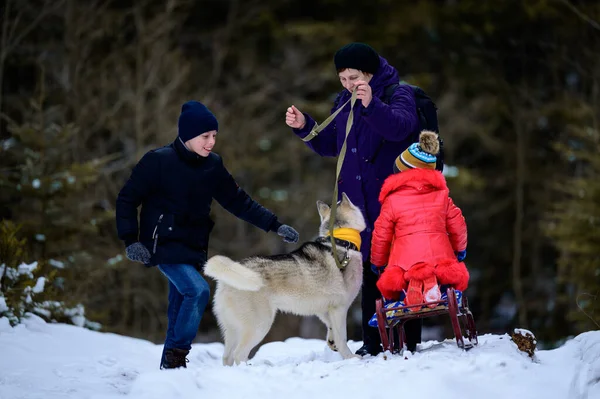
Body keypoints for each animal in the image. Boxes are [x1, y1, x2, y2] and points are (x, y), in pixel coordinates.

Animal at [205, 193, 366, 366]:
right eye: (341, 201)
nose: (343, 195)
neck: (342, 242)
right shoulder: (340, 308)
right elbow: (342, 337)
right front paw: (350, 358)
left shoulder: (324, 309)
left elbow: (331, 329)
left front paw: (332, 342)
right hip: (260, 325)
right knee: (239, 354)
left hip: (232, 329)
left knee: (227, 356)